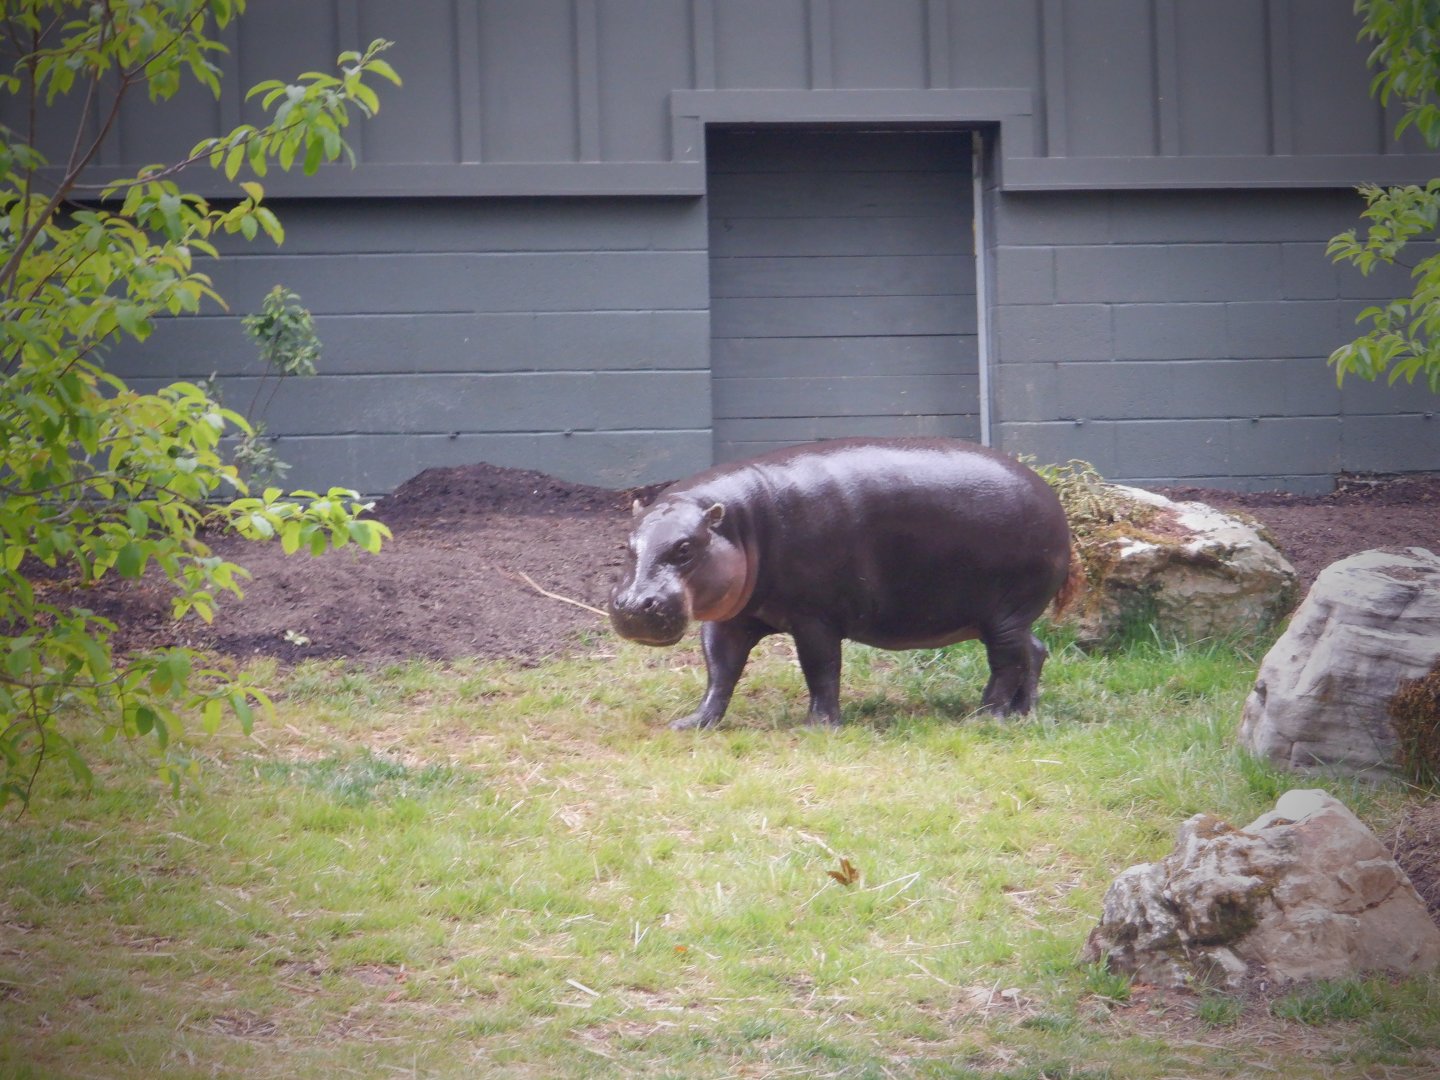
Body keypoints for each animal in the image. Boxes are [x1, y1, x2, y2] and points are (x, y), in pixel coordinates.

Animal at [608, 437, 1081, 729]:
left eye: (685, 548)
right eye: (627, 544)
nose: (632, 604)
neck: (740, 523)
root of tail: (1052, 496)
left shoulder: (814, 617)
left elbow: (820, 668)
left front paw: (816, 728)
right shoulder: (732, 617)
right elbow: (720, 671)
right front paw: (691, 724)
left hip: (1005, 613)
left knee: (1006, 663)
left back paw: (985, 718)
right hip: (1002, 617)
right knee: (1034, 650)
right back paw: (1024, 713)